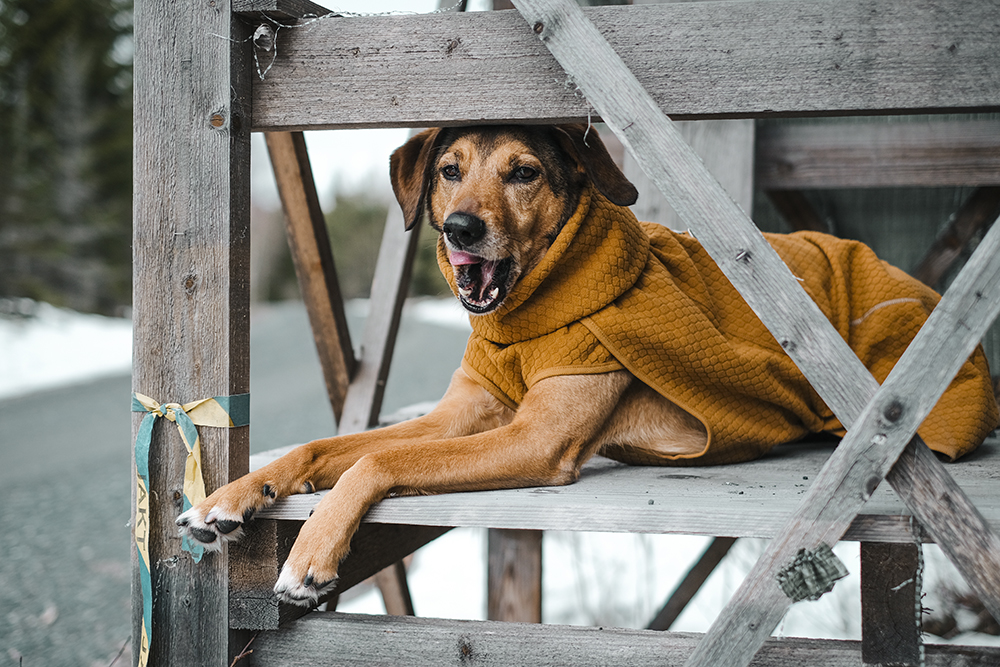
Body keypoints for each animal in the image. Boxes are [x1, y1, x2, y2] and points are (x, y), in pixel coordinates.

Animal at [176, 124, 996, 604]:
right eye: (447, 170)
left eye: (525, 173)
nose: (460, 229)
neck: (519, 324)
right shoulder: (461, 416)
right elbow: (329, 447)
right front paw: (234, 495)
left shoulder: (533, 440)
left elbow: (375, 462)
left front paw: (311, 554)